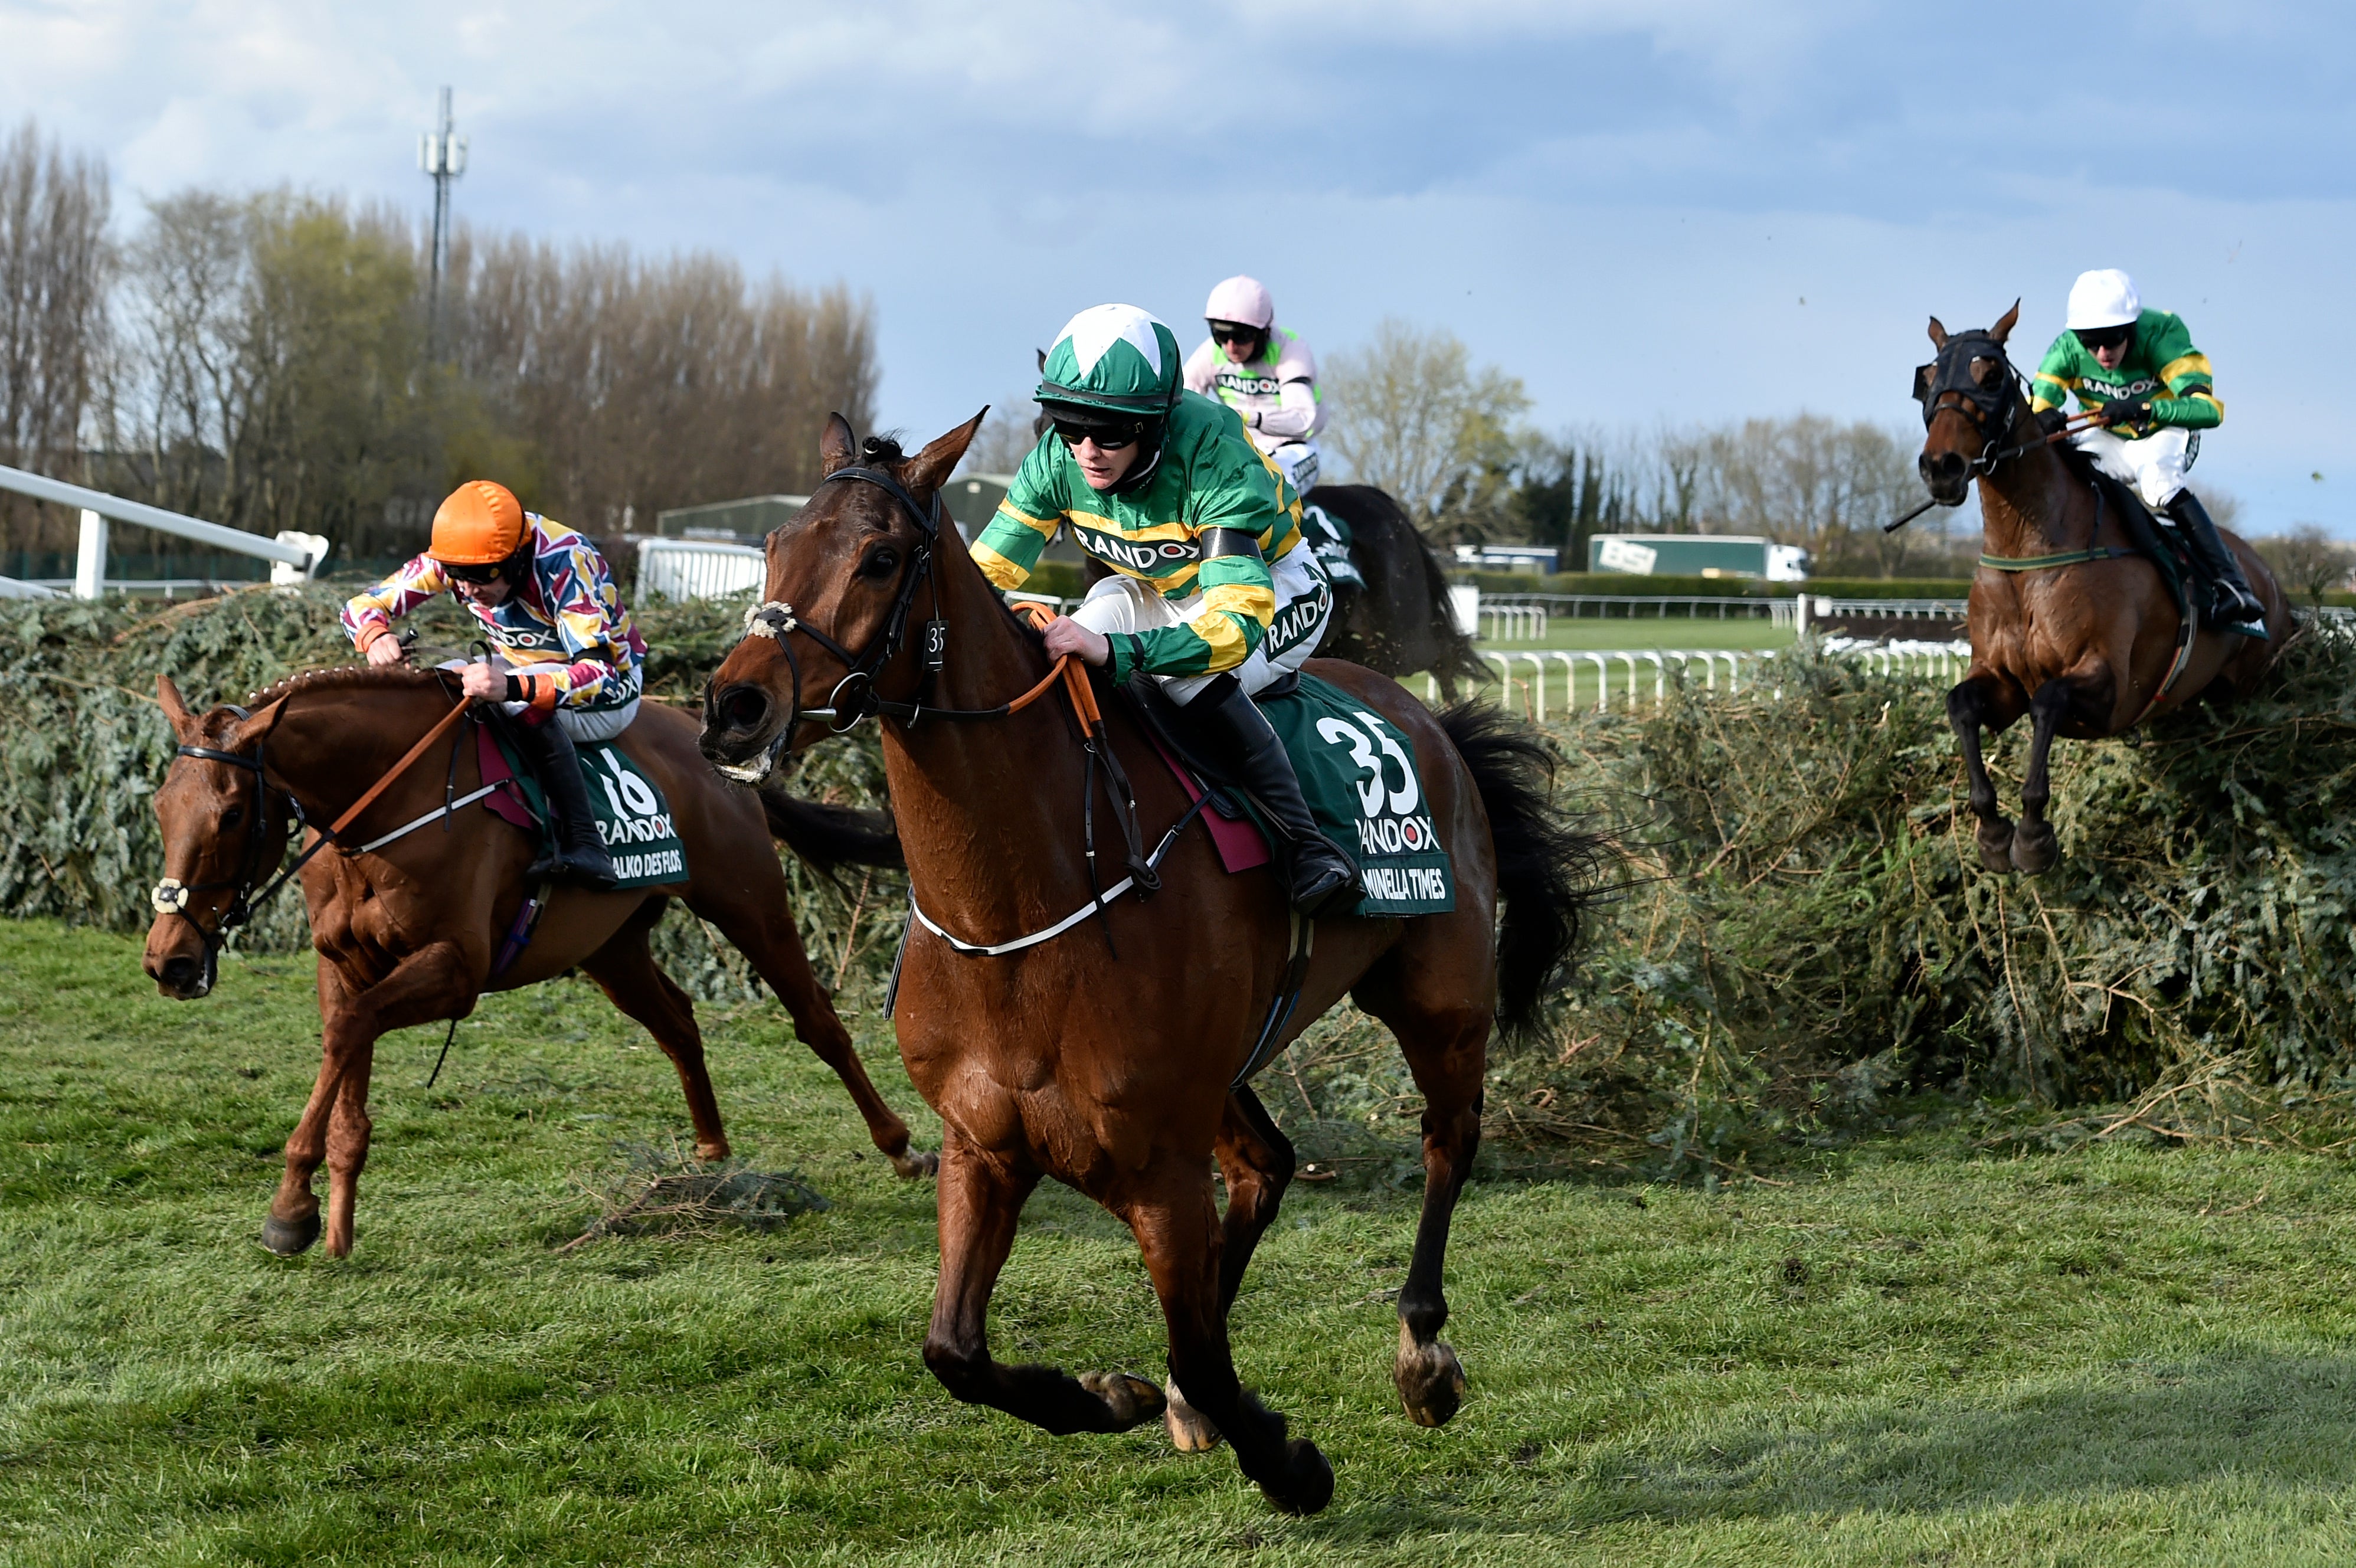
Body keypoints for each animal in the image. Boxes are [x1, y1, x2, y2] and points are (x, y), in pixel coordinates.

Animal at [140, 673, 937, 1262]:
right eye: (159, 806)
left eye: (232, 814)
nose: (169, 961)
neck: (388, 809)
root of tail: (699, 737)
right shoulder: (345, 965)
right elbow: (347, 1052)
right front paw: (326, 1220)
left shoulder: (457, 970)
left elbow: (349, 1034)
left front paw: (288, 1208)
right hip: (609, 946)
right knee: (678, 1024)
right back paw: (709, 1159)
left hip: (749, 903)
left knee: (818, 1021)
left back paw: (901, 1148)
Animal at [688, 410, 1602, 1507]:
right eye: (775, 545)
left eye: (879, 558)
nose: (733, 707)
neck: (1021, 907)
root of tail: (1429, 718)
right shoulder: (984, 1144)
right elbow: (954, 1350)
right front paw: (1113, 1394)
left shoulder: (1159, 1163)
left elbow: (1204, 1349)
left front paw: (1289, 1463)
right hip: (1231, 1061)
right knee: (1266, 1167)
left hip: (1439, 995)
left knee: (1447, 1139)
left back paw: (1422, 1353)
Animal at [1913, 299, 2280, 871]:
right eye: (1928, 379)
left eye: (1991, 376)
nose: (1941, 467)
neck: (2028, 553)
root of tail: (2265, 573)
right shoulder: (1999, 678)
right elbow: (1962, 704)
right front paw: (1993, 832)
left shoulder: (2112, 690)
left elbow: (2048, 701)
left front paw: (2034, 835)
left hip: (2250, 680)